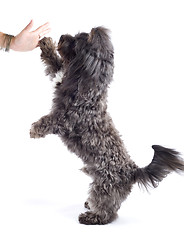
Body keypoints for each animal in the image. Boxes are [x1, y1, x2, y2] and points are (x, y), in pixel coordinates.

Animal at [29, 27, 184, 224]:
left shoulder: (64, 119)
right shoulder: (62, 77)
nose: (63, 36)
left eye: (76, 42)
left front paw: (34, 129)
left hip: (105, 186)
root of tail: (133, 171)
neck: (89, 89)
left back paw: (92, 216)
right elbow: (55, 64)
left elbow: (48, 121)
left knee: (108, 211)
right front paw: (46, 44)